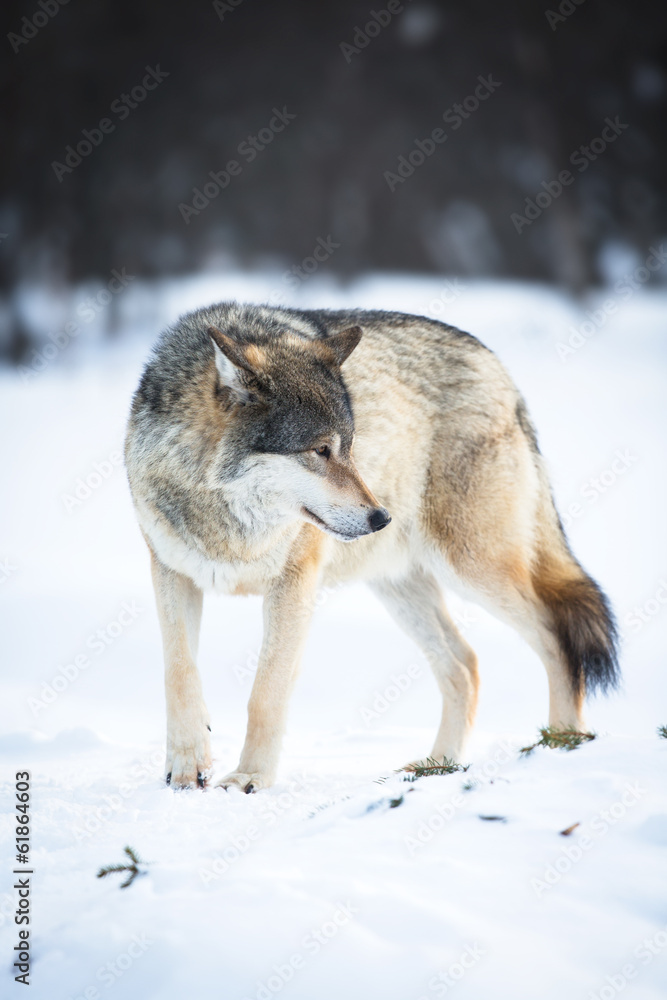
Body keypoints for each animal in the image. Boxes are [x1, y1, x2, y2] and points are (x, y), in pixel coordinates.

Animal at [125, 303, 618, 791]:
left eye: (349, 447)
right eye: (321, 450)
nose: (381, 518)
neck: (229, 521)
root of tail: (498, 367)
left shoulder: (294, 585)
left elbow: (266, 692)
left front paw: (251, 778)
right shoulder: (172, 572)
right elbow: (179, 674)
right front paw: (187, 767)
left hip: (474, 569)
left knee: (555, 633)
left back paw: (562, 741)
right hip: (400, 588)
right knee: (465, 665)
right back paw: (438, 764)